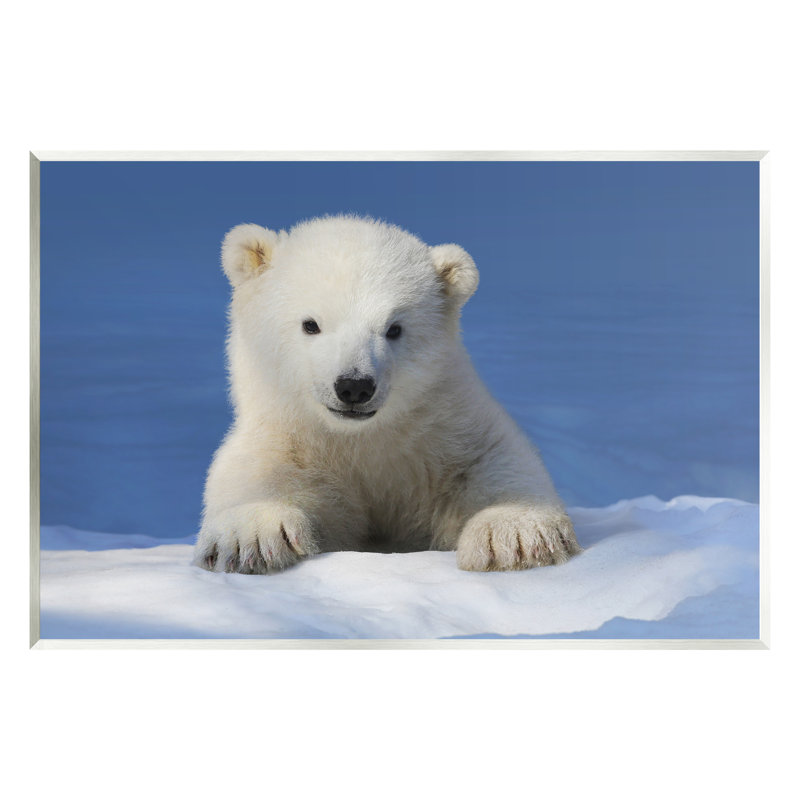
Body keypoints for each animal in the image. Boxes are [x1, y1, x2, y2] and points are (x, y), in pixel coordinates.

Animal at [193, 215, 580, 574]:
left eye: (394, 328)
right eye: (310, 324)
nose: (354, 386)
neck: (360, 440)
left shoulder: (444, 426)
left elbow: (493, 458)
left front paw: (514, 535)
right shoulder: (289, 438)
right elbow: (255, 474)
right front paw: (252, 539)